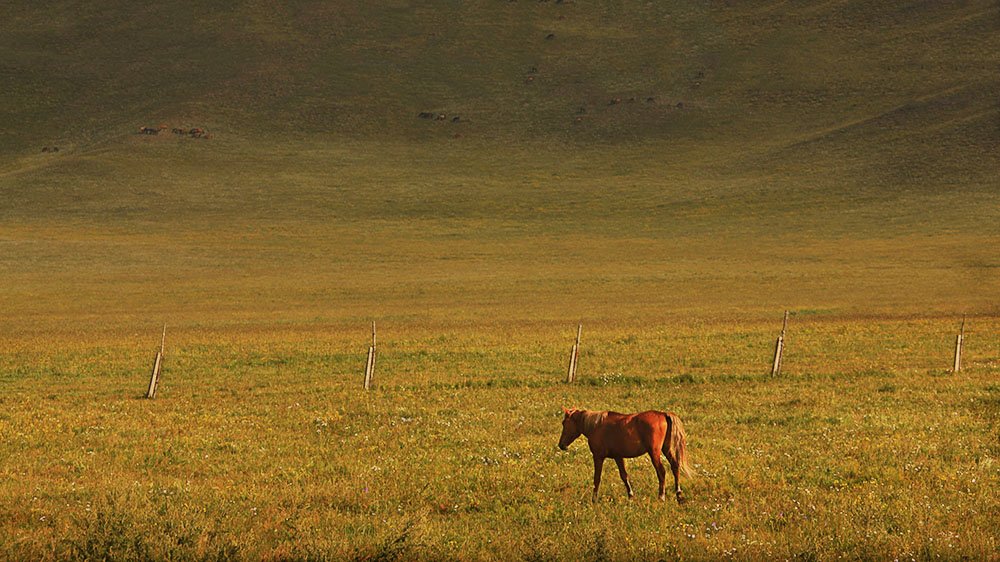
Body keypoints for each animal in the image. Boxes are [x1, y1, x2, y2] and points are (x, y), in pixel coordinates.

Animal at [560, 404, 692, 500]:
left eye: (564, 423)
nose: (561, 445)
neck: (596, 426)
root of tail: (663, 414)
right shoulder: (618, 457)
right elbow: (624, 476)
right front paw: (630, 495)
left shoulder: (598, 456)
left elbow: (597, 478)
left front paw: (594, 499)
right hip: (666, 449)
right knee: (675, 466)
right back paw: (678, 493)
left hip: (654, 452)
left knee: (662, 471)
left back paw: (661, 496)